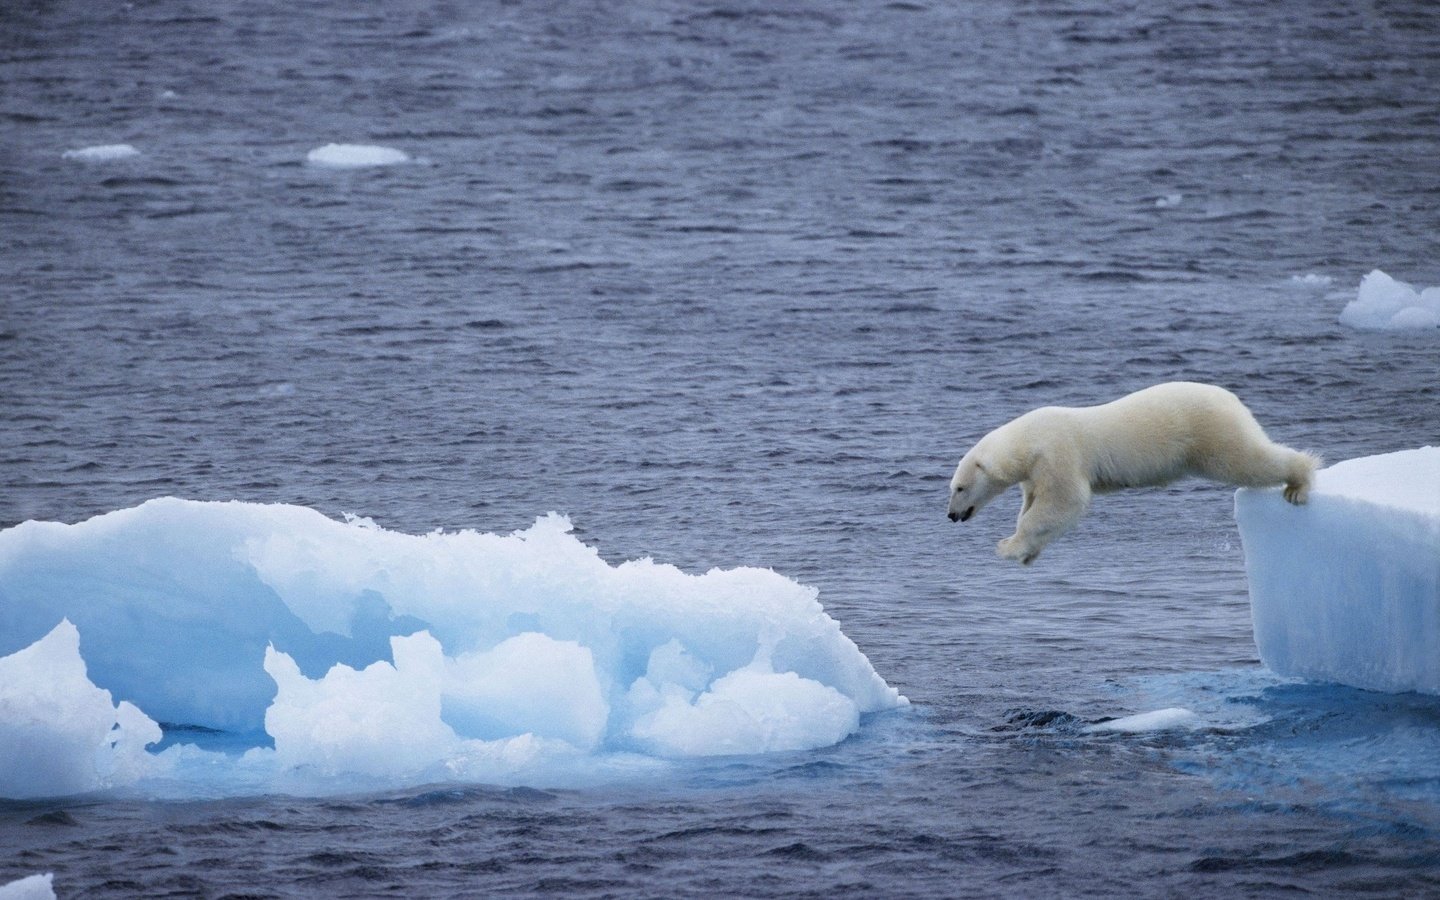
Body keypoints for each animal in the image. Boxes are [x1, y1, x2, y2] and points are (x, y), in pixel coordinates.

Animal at [944, 383, 1319, 564]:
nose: (951, 515)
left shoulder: (1058, 454)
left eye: (959, 488)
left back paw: (1299, 483)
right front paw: (1027, 552)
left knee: (1247, 460)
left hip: (1210, 432)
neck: (1028, 440)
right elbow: (1040, 507)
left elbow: (1065, 501)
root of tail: (1232, 399)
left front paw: (1008, 546)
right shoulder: (1035, 472)